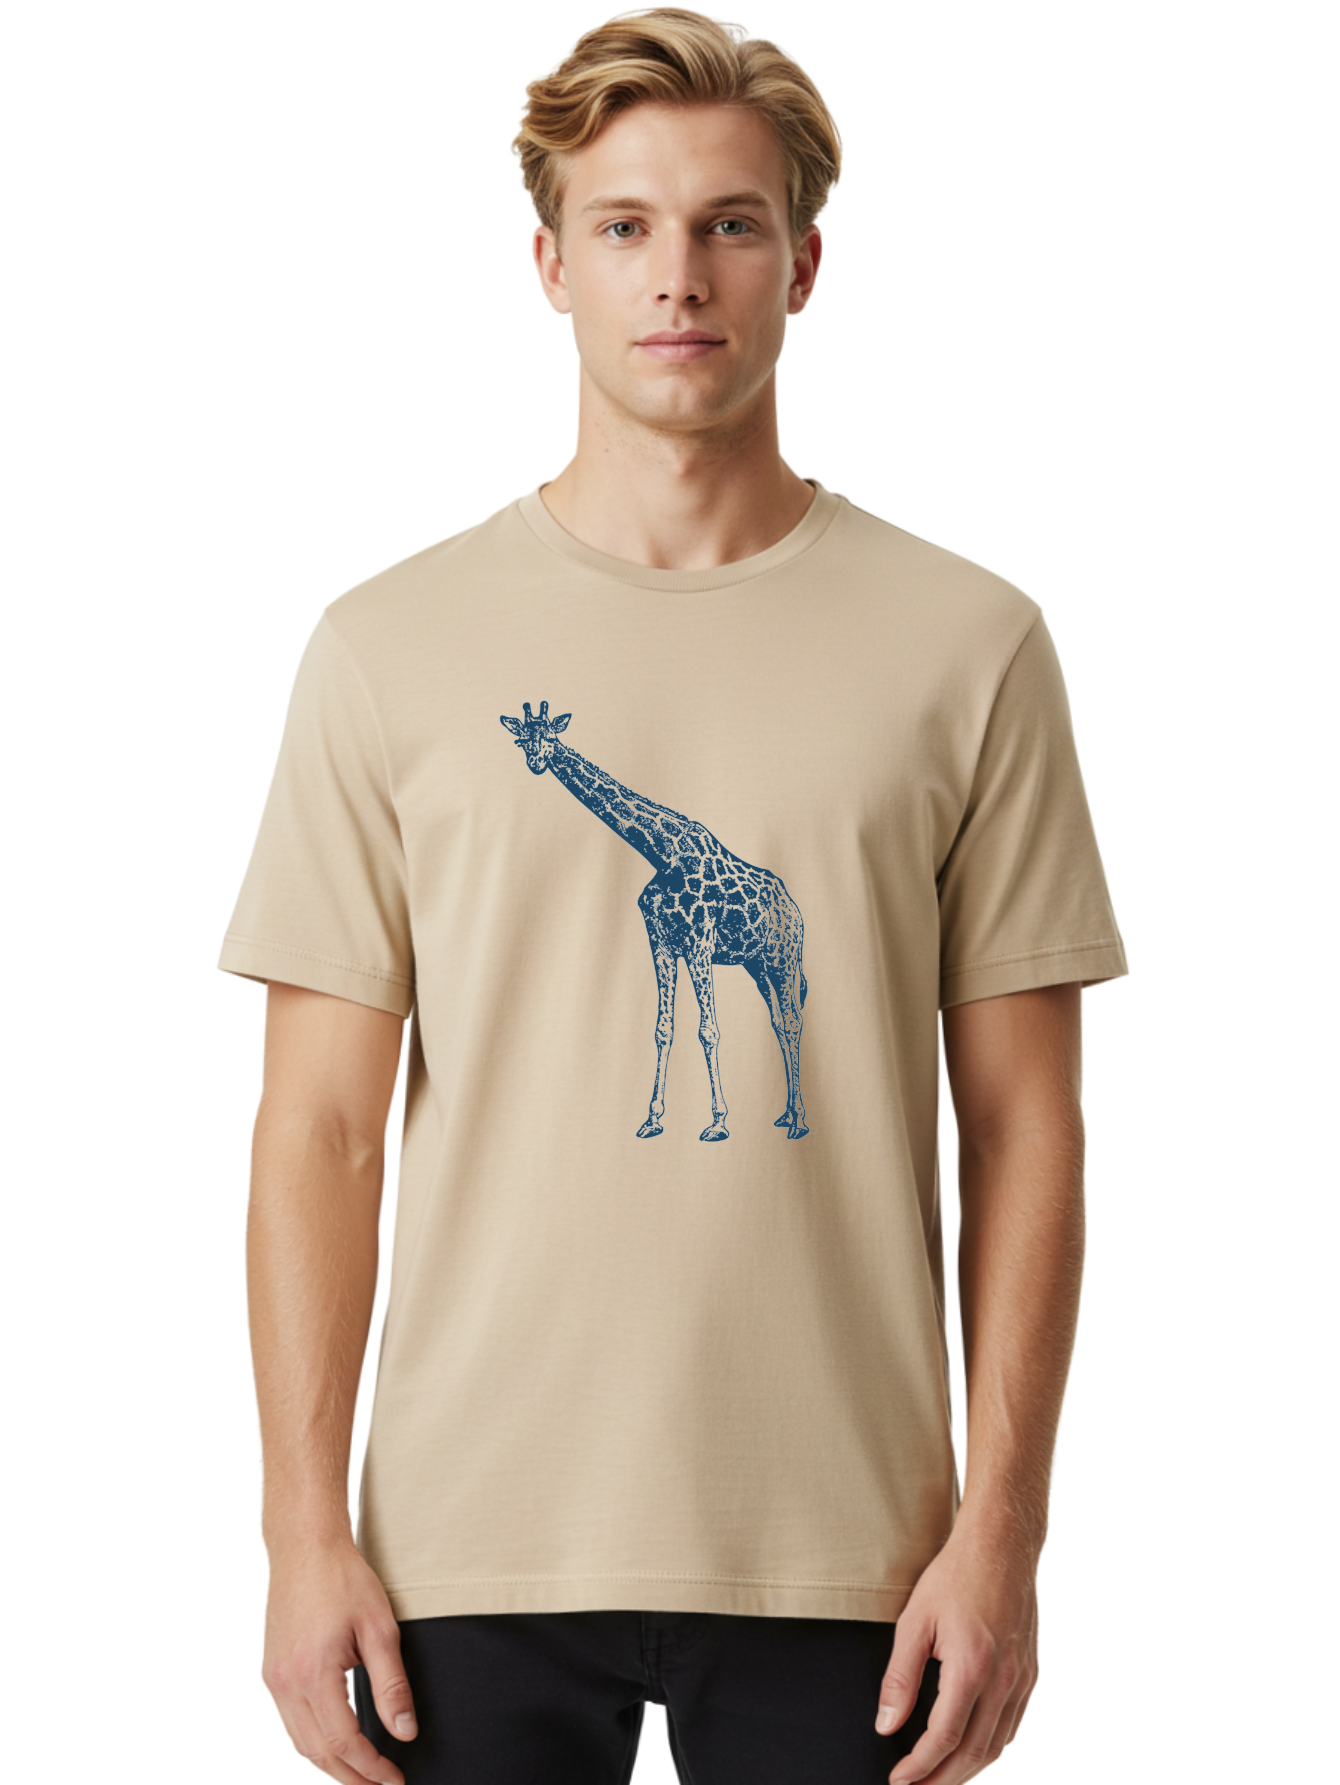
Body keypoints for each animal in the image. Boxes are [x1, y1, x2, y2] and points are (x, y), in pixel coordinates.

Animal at [500, 699, 809, 1143]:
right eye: (521, 740)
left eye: (553, 737)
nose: (536, 763)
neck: (662, 855)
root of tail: (795, 908)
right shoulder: (661, 943)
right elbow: (664, 1029)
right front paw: (653, 1119)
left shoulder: (699, 944)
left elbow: (708, 1030)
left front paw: (718, 1122)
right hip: (757, 965)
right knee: (779, 1024)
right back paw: (785, 1114)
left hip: (784, 957)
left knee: (795, 1021)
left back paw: (798, 1120)